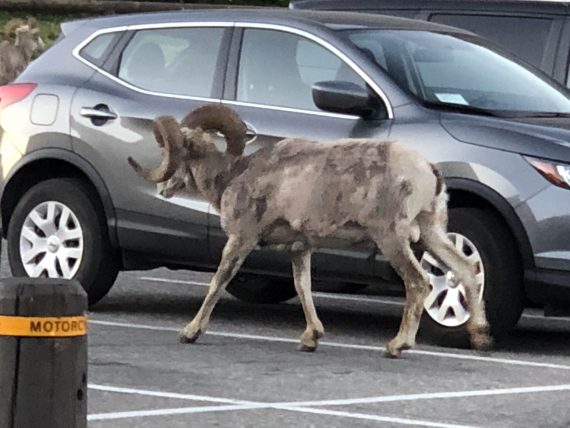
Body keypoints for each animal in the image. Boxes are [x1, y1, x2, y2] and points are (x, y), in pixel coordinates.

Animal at [127, 104, 488, 358]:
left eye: (169, 150)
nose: (162, 188)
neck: (234, 176)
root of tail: (428, 170)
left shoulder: (242, 239)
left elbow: (218, 282)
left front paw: (190, 332)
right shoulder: (300, 248)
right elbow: (304, 288)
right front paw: (310, 339)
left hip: (392, 239)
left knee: (419, 282)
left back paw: (397, 346)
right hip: (431, 233)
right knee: (465, 270)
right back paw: (481, 336)